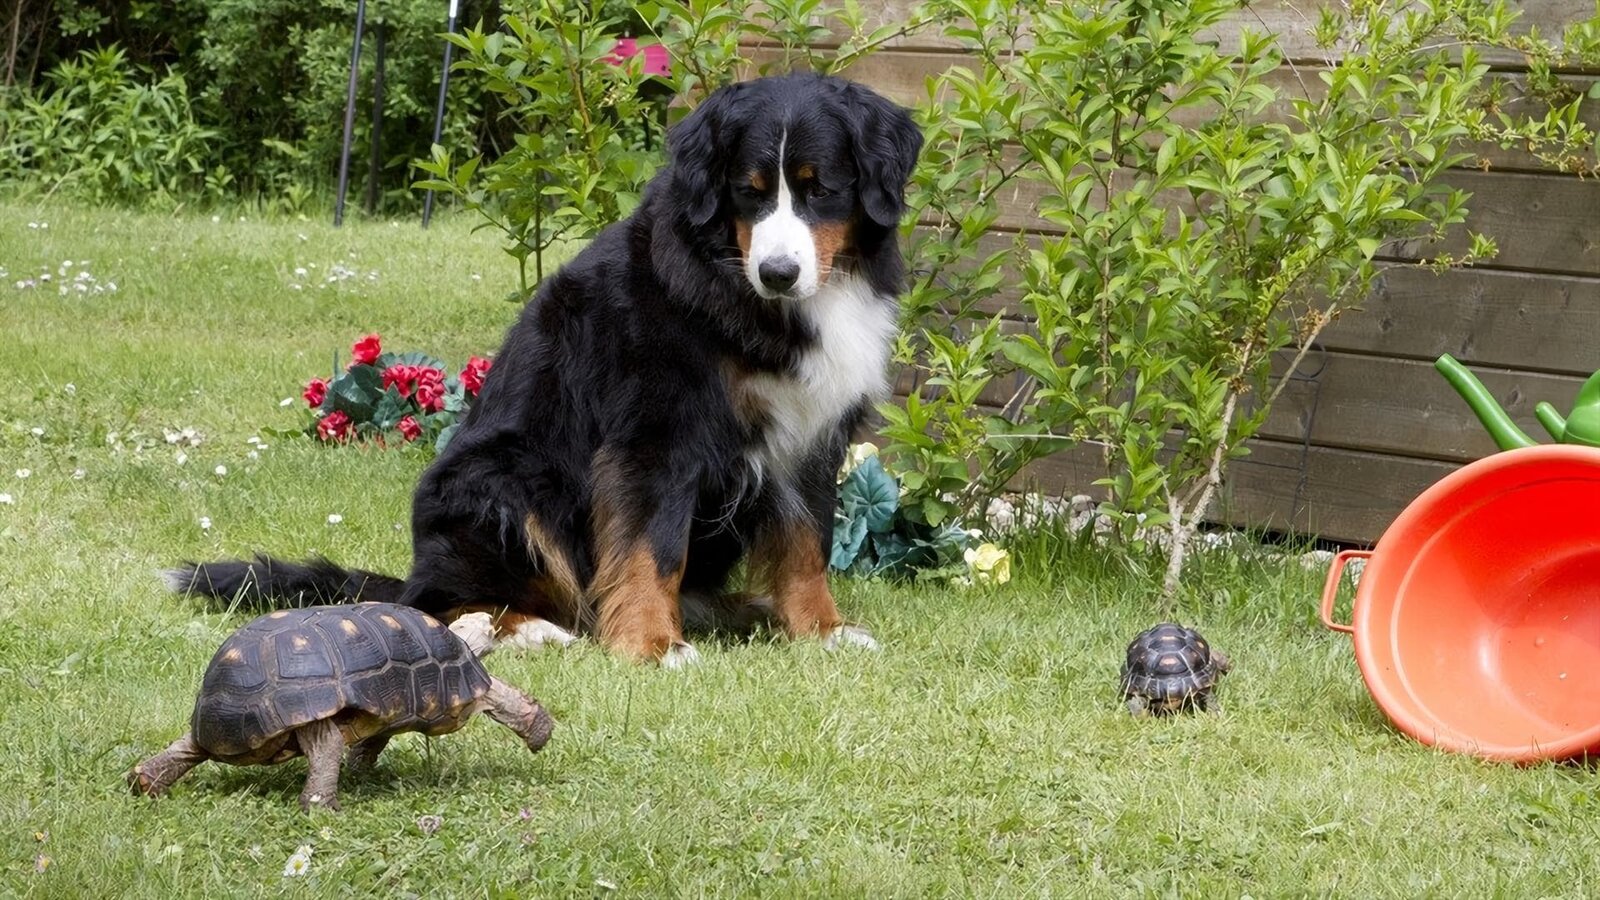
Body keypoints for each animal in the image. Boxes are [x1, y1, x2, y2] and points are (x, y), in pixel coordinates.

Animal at [165, 72, 924, 666]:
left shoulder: (810, 432)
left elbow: (805, 543)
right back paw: (523, 628)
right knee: (440, 603)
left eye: (820, 190)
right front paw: (651, 643)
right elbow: (650, 546)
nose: (778, 272)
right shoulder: (654, 434)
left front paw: (821, 630)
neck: (757, 297)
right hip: (504, 479)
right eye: (749, 191)